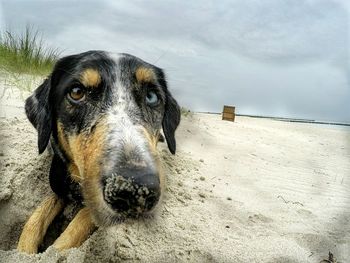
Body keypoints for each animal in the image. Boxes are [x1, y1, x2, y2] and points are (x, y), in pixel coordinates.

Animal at [17, 50, 180, 255]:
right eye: (76, 92)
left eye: (151, 97)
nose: (135, 189)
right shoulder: (57, 183)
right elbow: (36, 218)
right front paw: (24, 249)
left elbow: (77, 225)